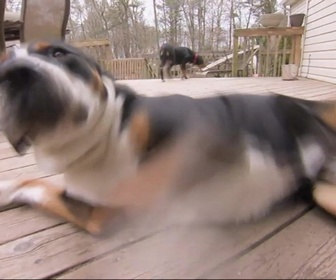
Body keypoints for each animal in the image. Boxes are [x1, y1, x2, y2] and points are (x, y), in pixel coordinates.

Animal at [0, 41, 336, 234]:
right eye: (3, 69)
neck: (101, 139)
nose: (17, 72)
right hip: (324, 193)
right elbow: (38, 186)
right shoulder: (95, 209)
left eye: (58, 53)